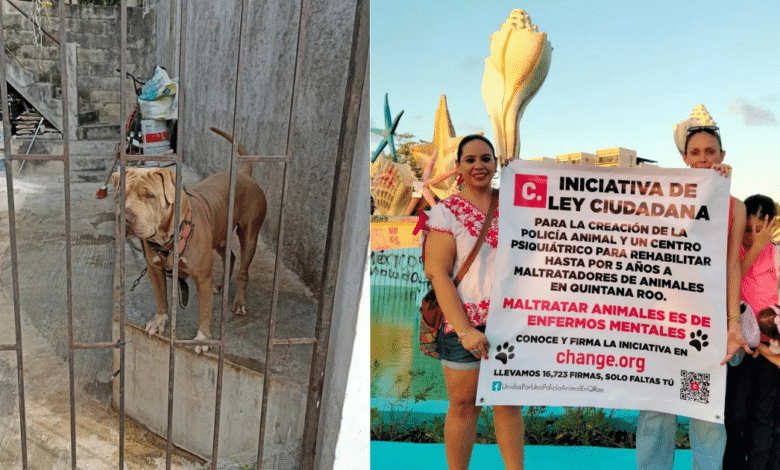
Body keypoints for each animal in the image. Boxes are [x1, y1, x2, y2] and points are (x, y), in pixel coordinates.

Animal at [111, 126, 266, 354]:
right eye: (122, 195)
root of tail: (243, 174)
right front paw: (159, 321)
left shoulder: (202, 276)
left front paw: (202, 338)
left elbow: (205, 311)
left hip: (249, 235)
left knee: (243, 270)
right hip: (219, 235)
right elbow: (161, 298)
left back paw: (239, 302)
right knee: (230, 257)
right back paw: (221, 285)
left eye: (149, 196)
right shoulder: (154, 270)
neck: (167, 237)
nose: (126, 218)